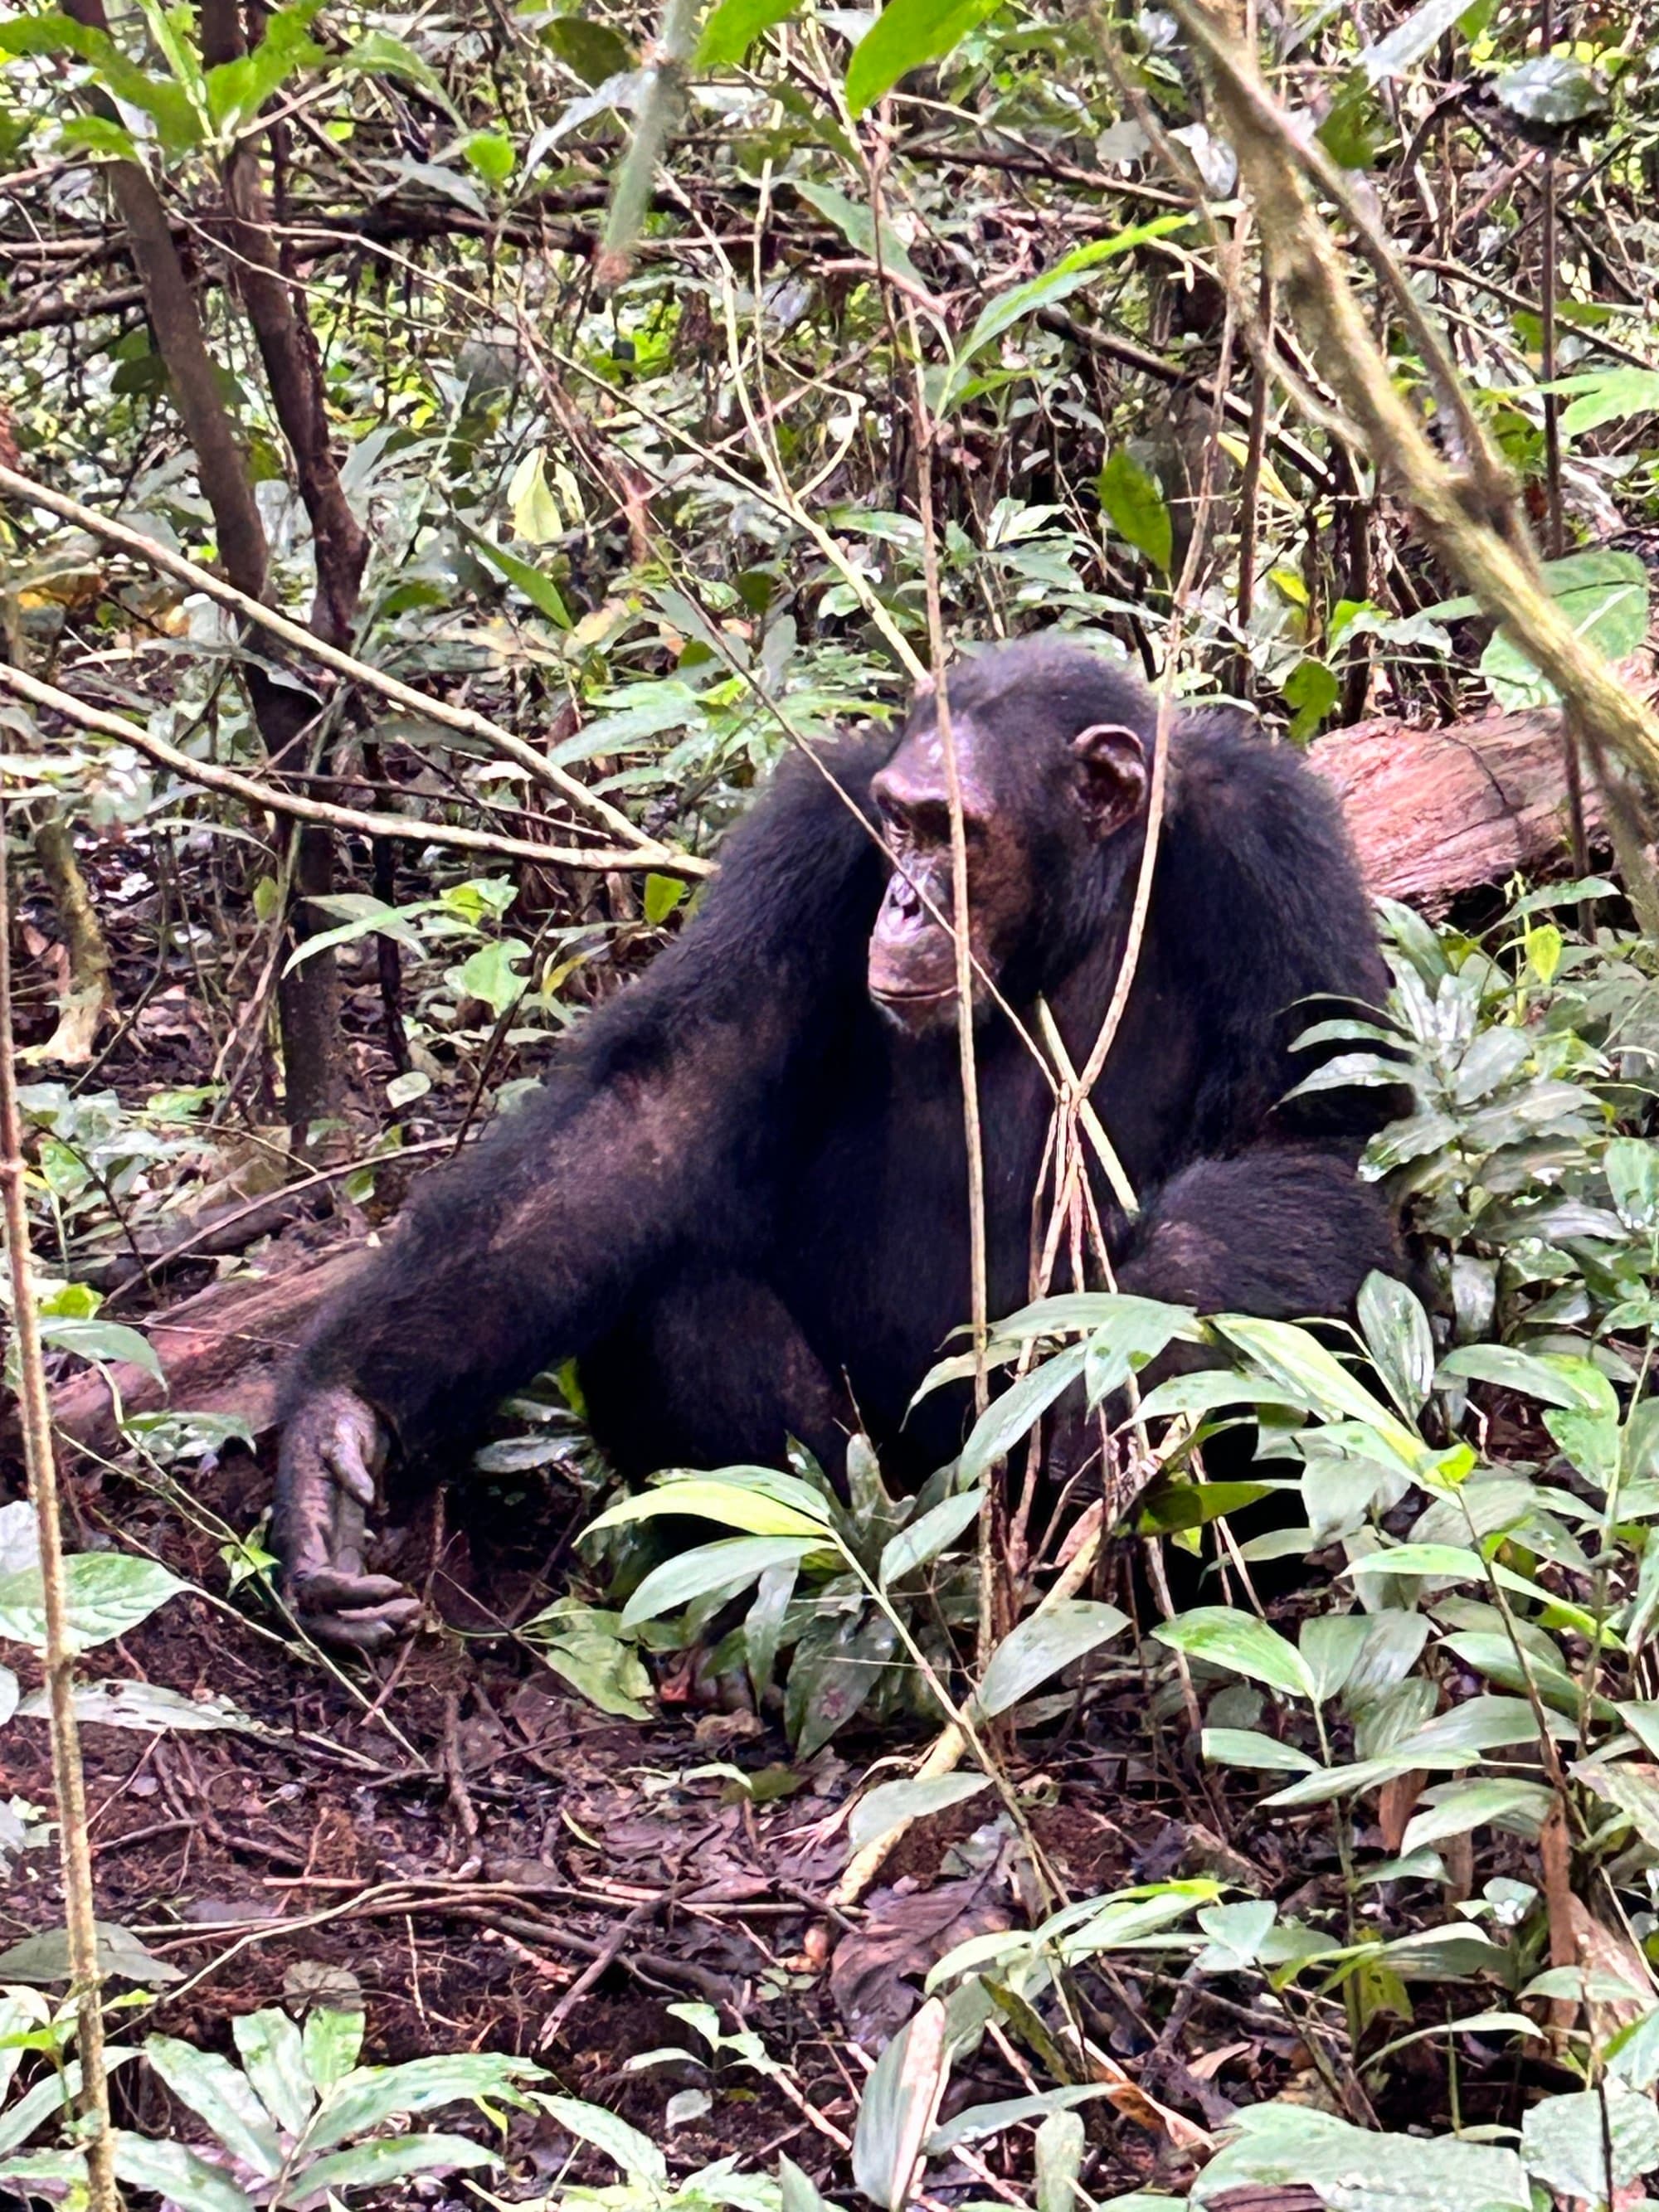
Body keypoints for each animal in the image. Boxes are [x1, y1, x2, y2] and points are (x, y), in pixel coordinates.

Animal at [276, 637, 1407, 1646]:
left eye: (953, 832)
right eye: (899, 823)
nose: (903, 902)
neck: (1079, 906)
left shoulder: (1273, 845)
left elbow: (1309, 1139)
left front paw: (1131, 1336)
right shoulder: (812, 834)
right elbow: (656, 1111)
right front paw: (334, 1429)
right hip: (893, 1493)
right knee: (674, 1301)